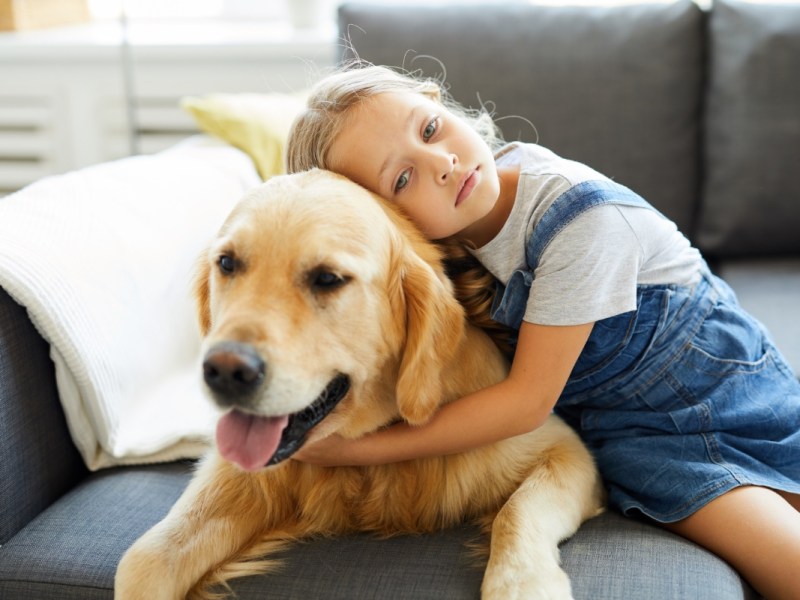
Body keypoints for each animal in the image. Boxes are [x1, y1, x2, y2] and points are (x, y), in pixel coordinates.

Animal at [111, 169, 600, 600]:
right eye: (228, 263)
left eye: (327, 278)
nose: (225, 371)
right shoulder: (239, 475)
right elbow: (145, 557)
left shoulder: (564, 449)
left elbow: (516, 512)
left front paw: (523, 583)